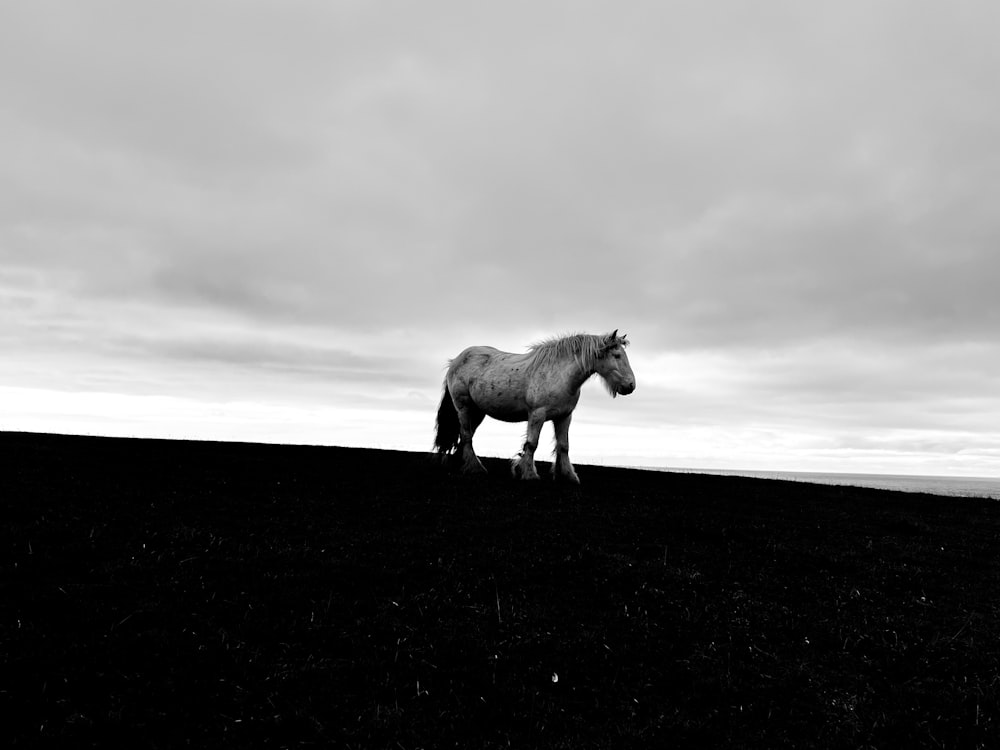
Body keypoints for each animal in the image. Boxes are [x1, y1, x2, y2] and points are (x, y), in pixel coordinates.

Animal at [434, 330, 636, 484]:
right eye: (617, 355)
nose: (631, 385)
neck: (561, 375)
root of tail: (456, 361)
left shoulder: (564, 416)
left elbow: (564, 446)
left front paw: (568, 475)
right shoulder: (537, 414)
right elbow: (532, 443)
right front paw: (528, 473)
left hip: (477, 412)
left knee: (465, 436)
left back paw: (462, 465)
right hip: (464, 407)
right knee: (466, 436)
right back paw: (475, 468)